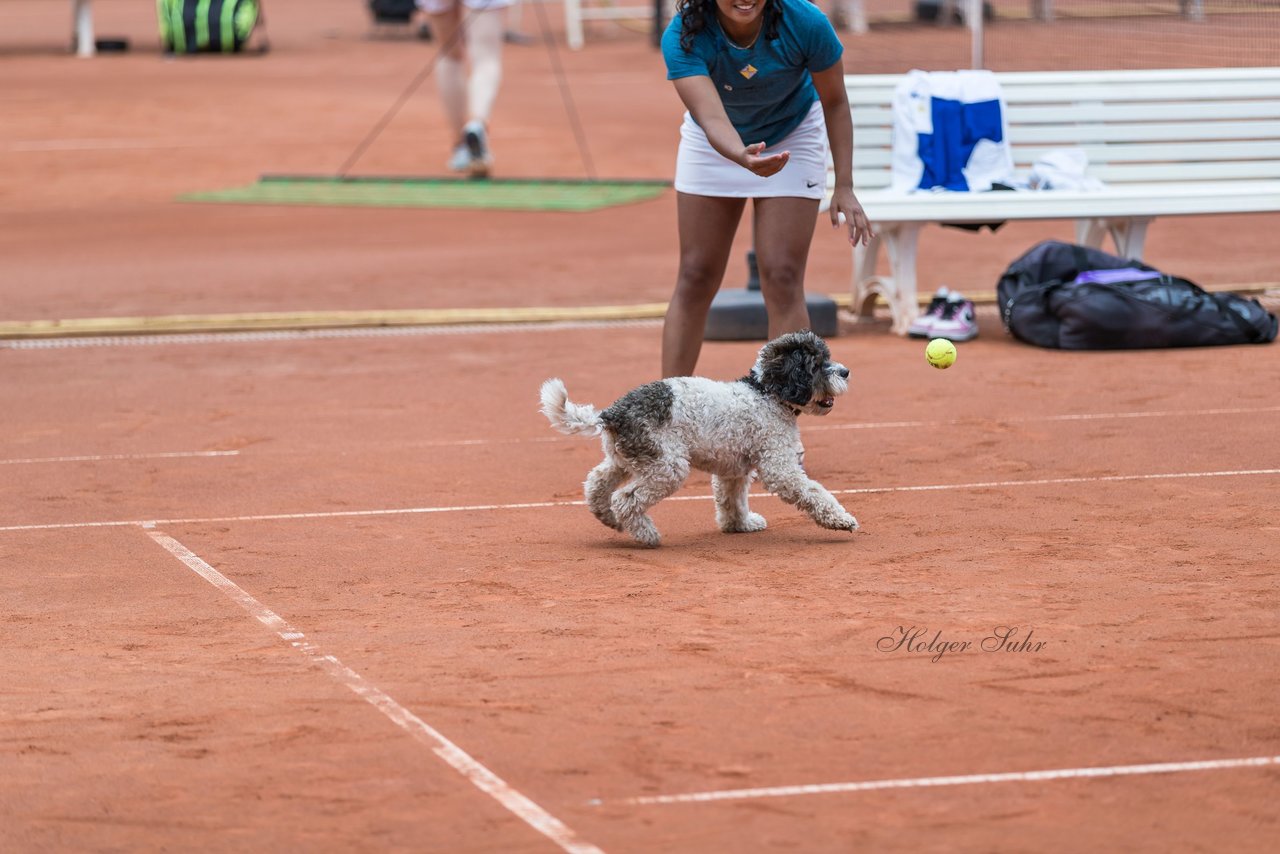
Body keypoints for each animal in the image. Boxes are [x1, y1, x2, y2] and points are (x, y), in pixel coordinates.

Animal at [535, 330, 855, 545]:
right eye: (816, 364)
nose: (845, 371)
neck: (766, 393)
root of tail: (612, 413)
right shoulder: (780, 469)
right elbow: (814, 493)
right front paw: (841, 520)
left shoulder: (733, 470)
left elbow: (731, 500)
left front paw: (740, 525)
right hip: (667, 466)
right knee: (626, 499)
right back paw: (646, 534)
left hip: (626, 458)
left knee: (596, 483)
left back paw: (608, 518)